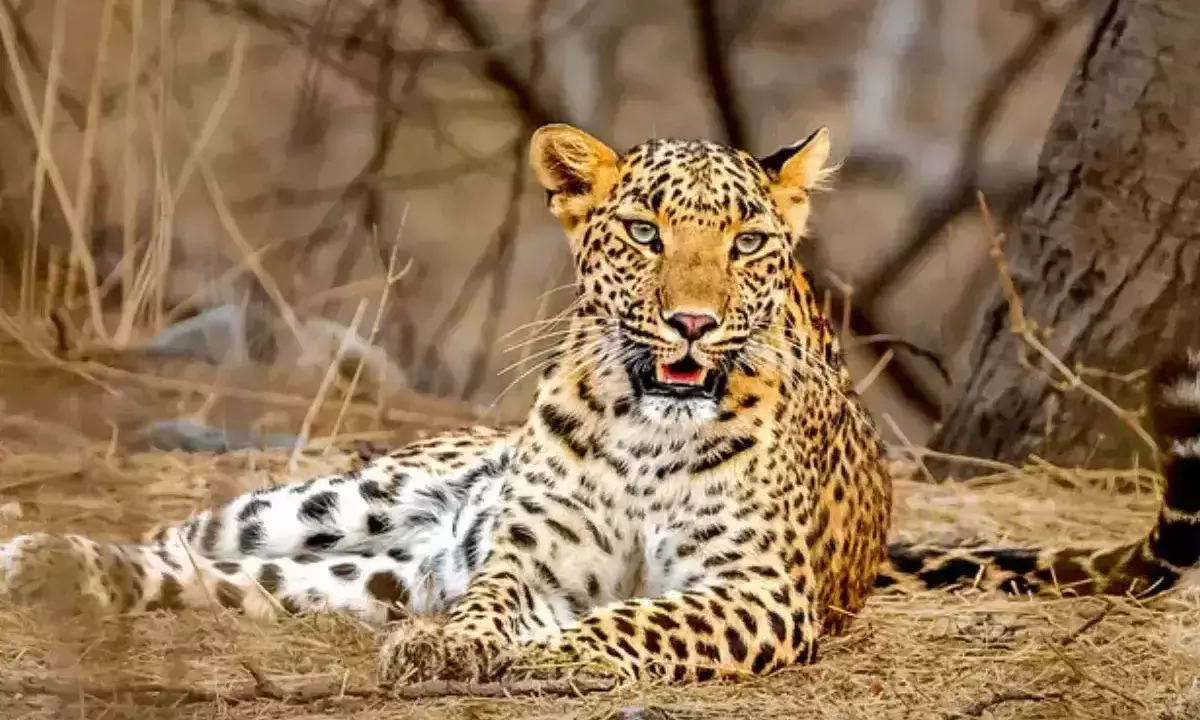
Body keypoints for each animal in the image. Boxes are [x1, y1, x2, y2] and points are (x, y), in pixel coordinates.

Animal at [2, 123, 1198, 687]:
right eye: (644, 233)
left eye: (748, 243)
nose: (693, 325)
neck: (646, 436)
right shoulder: (527, 560)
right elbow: (490, 601)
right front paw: (456, 649)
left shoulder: (754, 591)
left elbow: (638, 615)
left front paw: (552, 656)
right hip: (341, 504)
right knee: (191, 536)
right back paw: (43, 554)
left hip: (354, 581)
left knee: (219, 580)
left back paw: (60, 575)